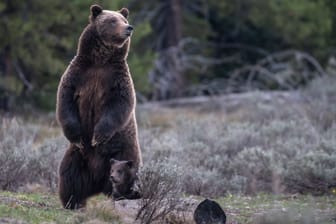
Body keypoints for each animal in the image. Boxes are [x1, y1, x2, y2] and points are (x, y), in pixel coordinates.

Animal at [56, 4, 142, 209]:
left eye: (124, 20)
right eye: (112, 20)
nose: (129, 28)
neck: (100, 60)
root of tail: (97, 181)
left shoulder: (117, 79)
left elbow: (119, 105)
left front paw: (98, 136)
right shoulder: (78, 74)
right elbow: (65, 101)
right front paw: (79, 137)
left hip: (124, 152)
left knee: (125, 174)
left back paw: (124, 195)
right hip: (78, 157)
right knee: (70, 175)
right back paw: (73, 201)